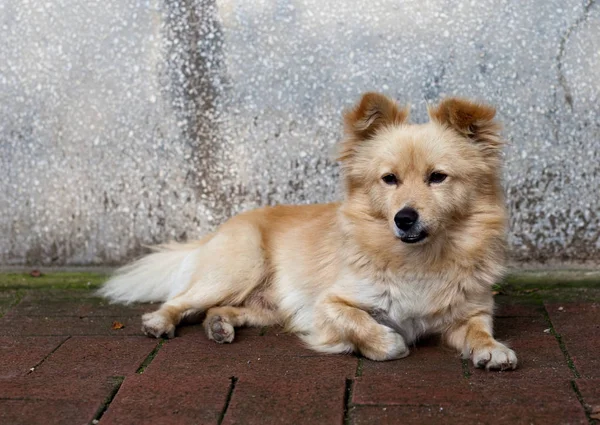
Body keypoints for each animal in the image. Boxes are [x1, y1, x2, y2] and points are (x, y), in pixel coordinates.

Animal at [98, 92, 516, 368]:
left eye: (438, 177)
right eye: (389, 180)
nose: (404, 218)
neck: (422, 259)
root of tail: (215, 232)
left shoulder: (471, 311)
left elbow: (479, 329)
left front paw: (491, 348)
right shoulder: (326, 307)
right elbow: (369, 328)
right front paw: (388, 342)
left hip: (267, 305)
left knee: (221, 309)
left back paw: (219, 324)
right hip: (240, 266)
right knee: (181, 301)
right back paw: (159, 322)